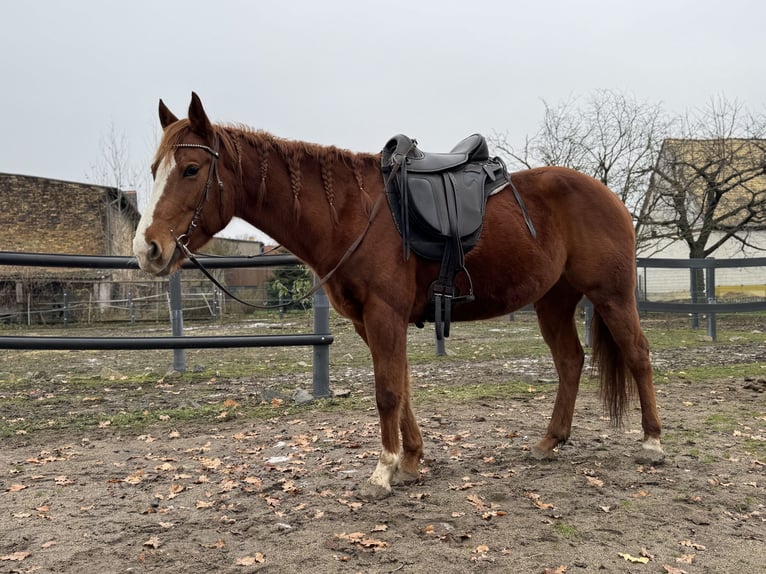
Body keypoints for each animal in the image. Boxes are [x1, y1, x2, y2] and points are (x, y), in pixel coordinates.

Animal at [133, 93, 663, 499]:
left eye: (191, 169)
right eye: (155, 167)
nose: (147, 248)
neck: (352, 212)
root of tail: (609, 195)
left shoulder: (384, 314)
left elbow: (387, 391)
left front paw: (383, 471)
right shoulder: (367, 321)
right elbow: (403, 387)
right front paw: (410, 462)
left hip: (612, 295)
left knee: (638, 355)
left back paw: (653, 444)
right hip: (553, 301)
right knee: (571, 361)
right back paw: (550, 441)